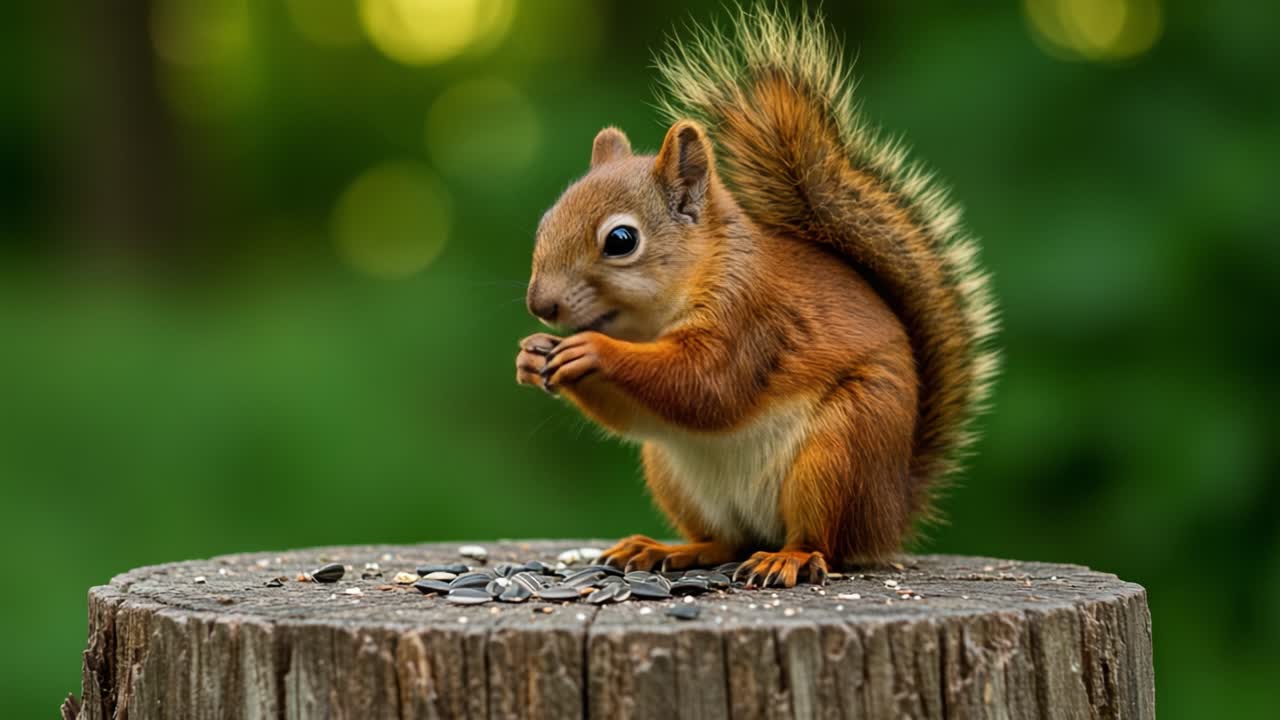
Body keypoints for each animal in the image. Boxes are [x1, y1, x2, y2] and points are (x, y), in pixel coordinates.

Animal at [515, 7, 998, 587]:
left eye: (621, 240)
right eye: (546, 221)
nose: (541, 305)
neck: (652, 321)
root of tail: (892, 512)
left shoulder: (751, 318)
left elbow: (705, 383)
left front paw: (592, 351)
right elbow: (637, 415)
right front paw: (532, 354)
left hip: (840, 452)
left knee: (822, 542)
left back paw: (788, 558)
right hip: (674, 473)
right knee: (727, 540)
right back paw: (668, 550)